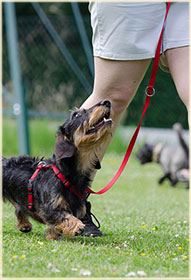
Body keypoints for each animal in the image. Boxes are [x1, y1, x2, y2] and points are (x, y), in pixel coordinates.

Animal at [2, 99, 112, 240]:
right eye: (76, 115)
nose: (106, 102)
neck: (64, 173)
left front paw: (54, 235)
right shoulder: (48, 208)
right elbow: (63, 216)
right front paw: (77, 226)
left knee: (19, 207)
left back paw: (24, 225)